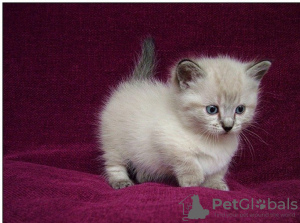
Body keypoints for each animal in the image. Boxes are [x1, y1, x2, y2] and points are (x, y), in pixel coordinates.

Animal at [99, 37, 272, 191]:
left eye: (240, 109)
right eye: (212, 109)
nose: (228, 126)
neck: (211, 141)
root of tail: (133, 83)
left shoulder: (222, 160)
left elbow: (217, 172)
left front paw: (216, 185)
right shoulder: (166, 142)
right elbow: (188, 162)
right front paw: (193, 181)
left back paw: (146, 177)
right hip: (114, 144)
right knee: (114, 164)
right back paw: (121, 181)